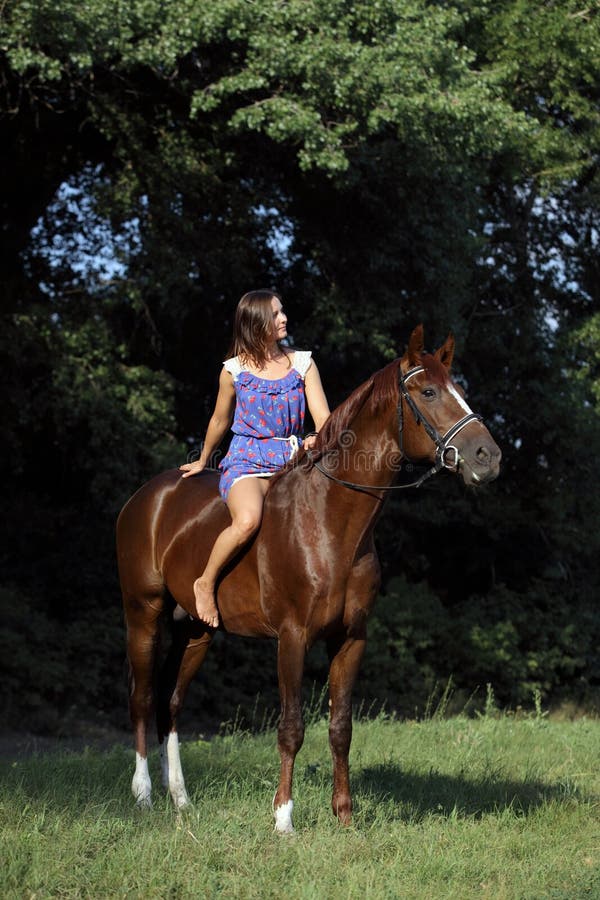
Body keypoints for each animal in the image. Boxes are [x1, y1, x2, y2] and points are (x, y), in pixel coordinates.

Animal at [117, 326, 502, 832]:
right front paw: (284, 817)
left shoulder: (350, 639)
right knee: (142, 699)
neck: (329, 520)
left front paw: (345, 815)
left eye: (459, 389)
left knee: (172, 704)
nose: (488, 457)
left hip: (196, 630)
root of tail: (146, 498)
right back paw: (143, 796)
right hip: (143, 614)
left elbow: (341, 728)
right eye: (429, 392)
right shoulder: (292, 637)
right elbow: (292, 727)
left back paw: (181, 800)